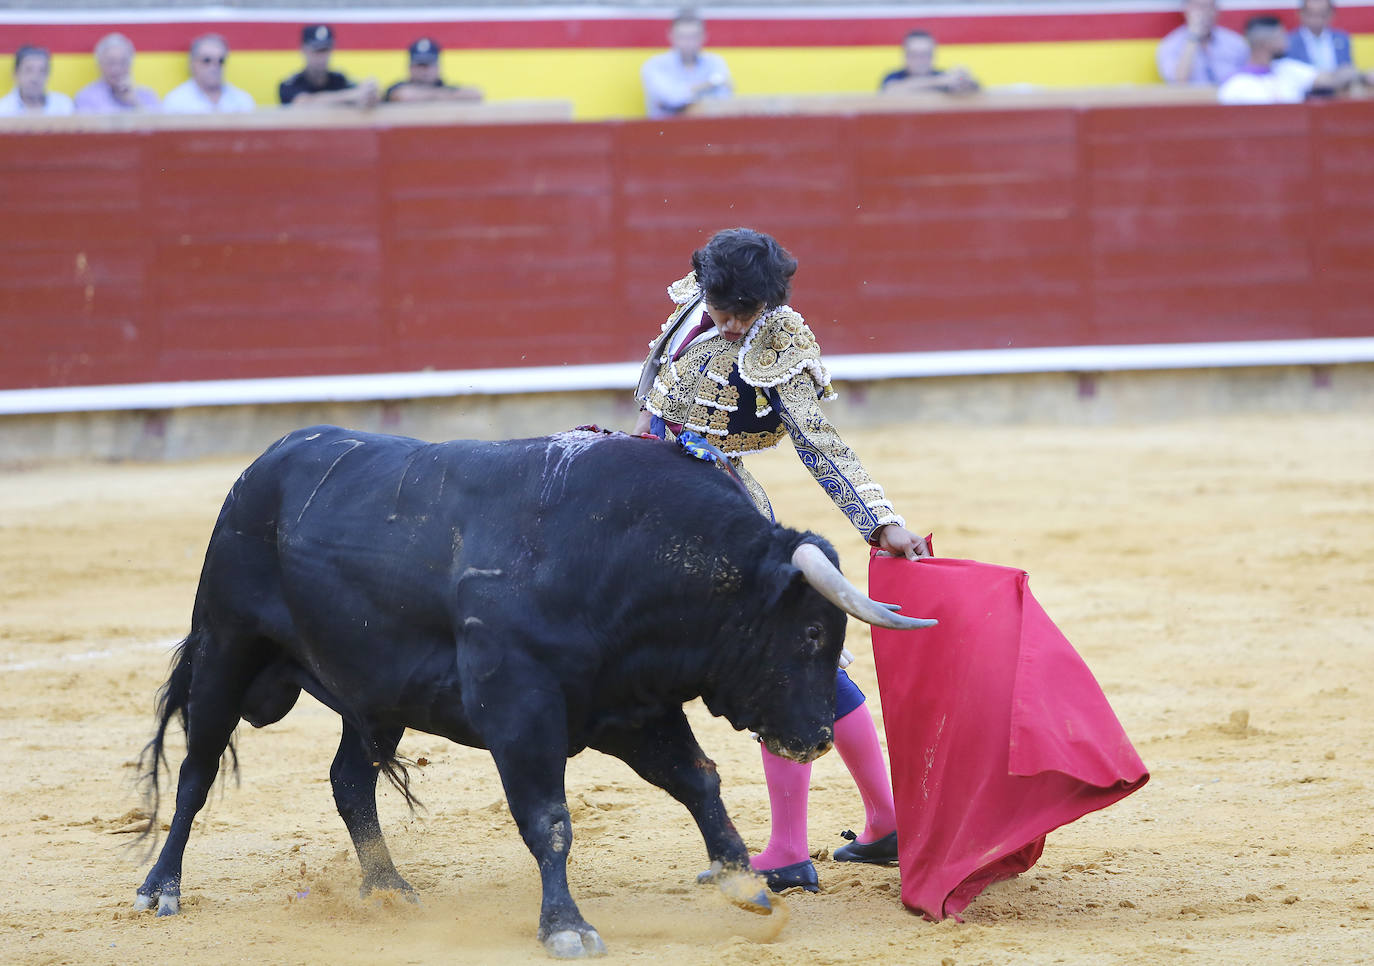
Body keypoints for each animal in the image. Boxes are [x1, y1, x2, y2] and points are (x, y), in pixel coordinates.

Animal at [133, 425, 934, 956]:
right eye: (811, 633)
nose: (817, 737)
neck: (618, 550)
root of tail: (262, 465)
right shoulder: (521, 712)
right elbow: (549, 819)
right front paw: (567, 928)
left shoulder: (633, 708)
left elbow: (698, 780)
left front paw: (744, 884)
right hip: (225, 646)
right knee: (197, 772)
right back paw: (159, 888)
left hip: (374, 697)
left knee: (349, 782)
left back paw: (388, 889)